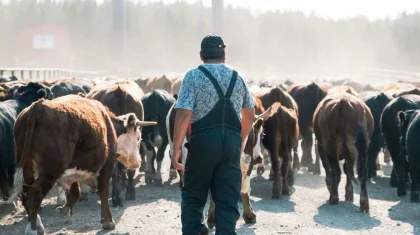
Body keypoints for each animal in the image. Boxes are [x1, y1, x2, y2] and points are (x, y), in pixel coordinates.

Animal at [9, 95, 157, 235]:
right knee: (34, 194)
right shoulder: (107, 164)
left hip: (27, 167)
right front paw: (107, 221)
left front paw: (67, 209)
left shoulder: (74, 169)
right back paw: (32, 229)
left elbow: (75, 192)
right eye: (138, 138)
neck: (108, 124)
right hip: (51, 171)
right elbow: (103, 191)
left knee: (25, 193)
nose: (138, 162)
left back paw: (37, 224)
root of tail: (39, 106)